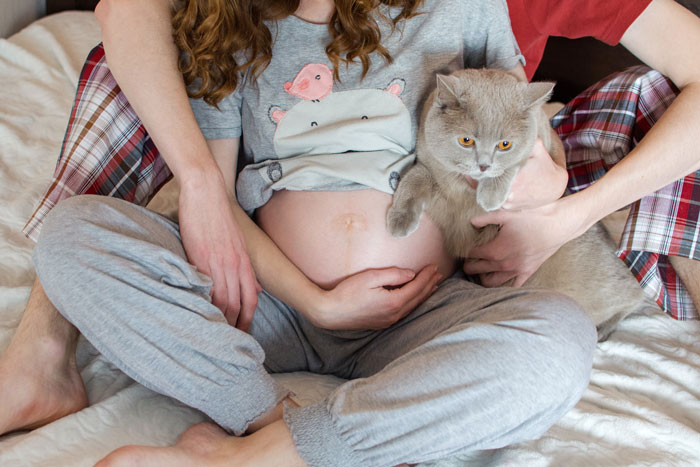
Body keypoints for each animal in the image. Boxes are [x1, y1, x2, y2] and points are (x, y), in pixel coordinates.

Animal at [386, 67, 648, 342]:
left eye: (505, 144)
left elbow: (515, 165)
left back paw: (603, 331)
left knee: (633, 300)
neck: (463, 189)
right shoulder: (436, 180)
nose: (483, 165)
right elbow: (414, 178)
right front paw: (400, 221)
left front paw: (490, 196)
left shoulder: (543, 146)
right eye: (466, 140)